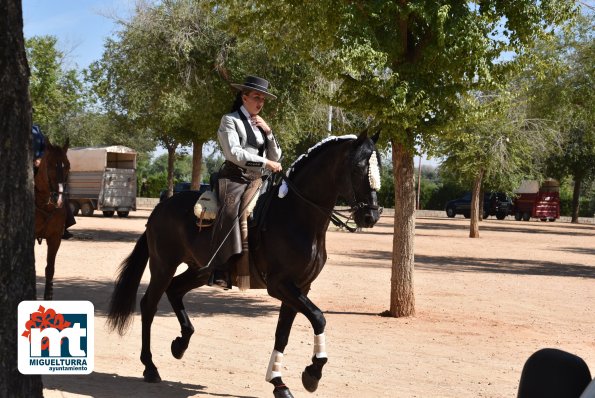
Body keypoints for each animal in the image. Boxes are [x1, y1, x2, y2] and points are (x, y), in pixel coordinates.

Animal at [108, 130, 382, 394]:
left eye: (378, 164)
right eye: (358, 167)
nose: (371, 216)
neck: (296, 215)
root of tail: (162, 206)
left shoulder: (300, 288)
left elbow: (282, 334)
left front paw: (279, 383)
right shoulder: (280, 285)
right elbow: (318, 317)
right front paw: (312, 373)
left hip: (200, 269)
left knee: (175, 290)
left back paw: (181, 344)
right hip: (163, 266)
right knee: (149, 305)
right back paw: (150, 366)